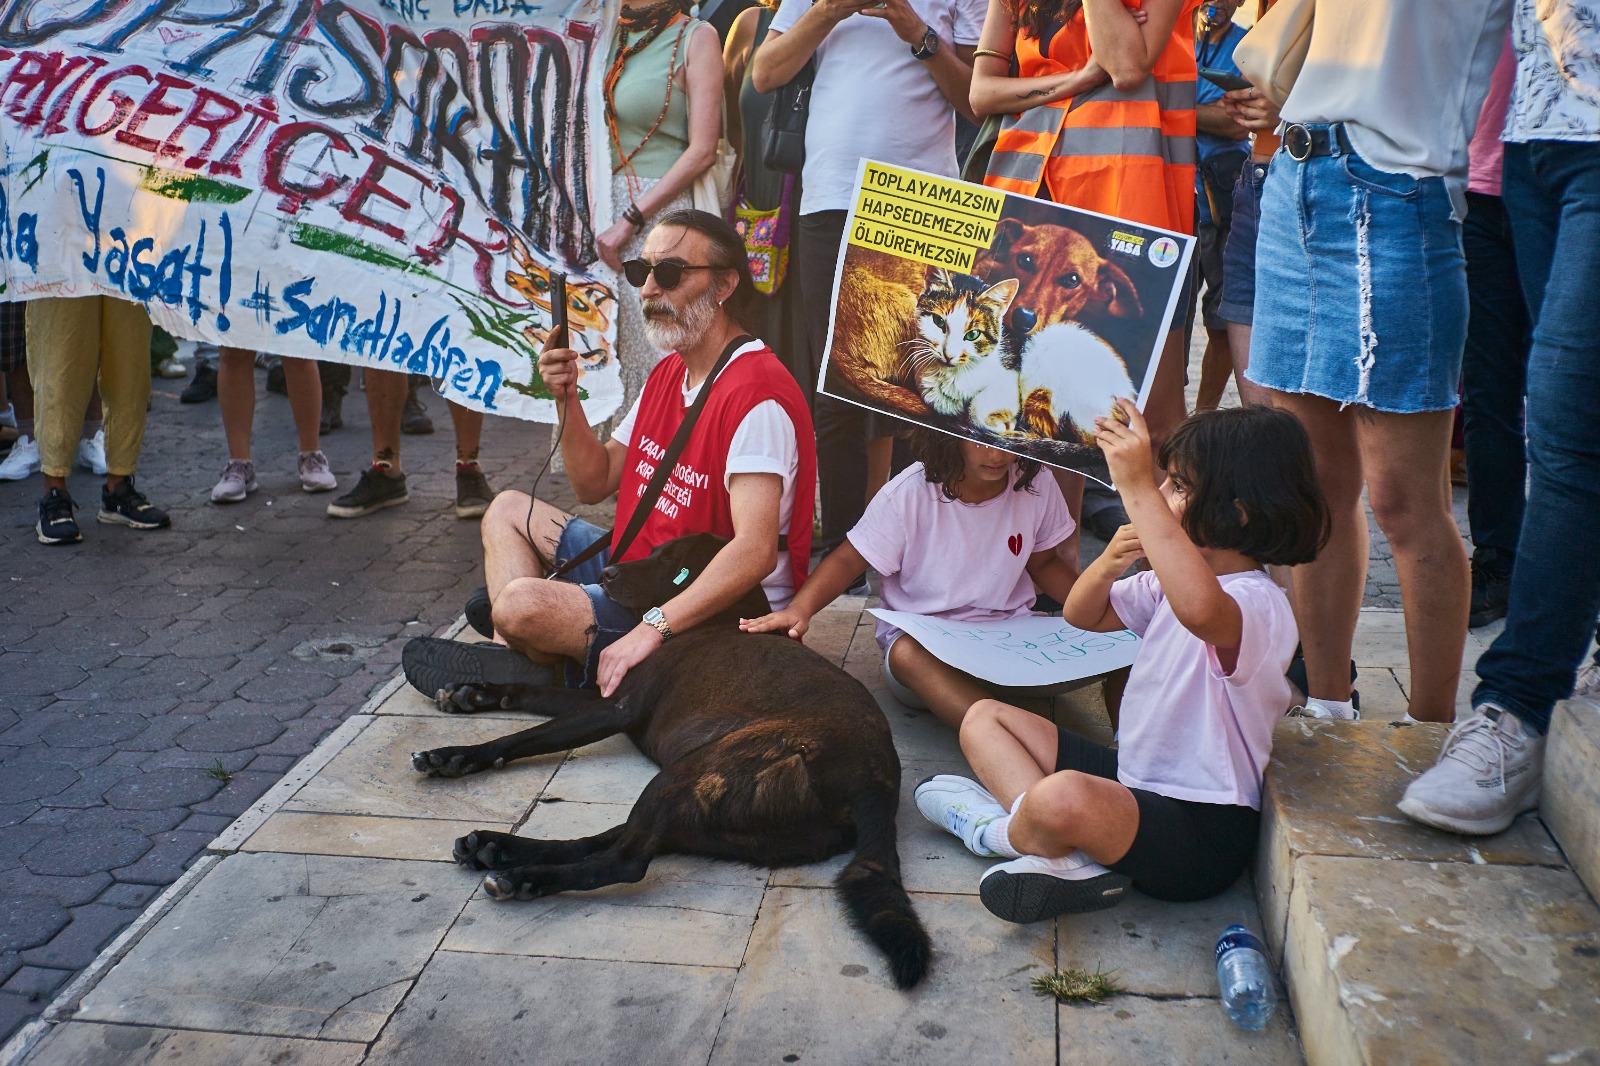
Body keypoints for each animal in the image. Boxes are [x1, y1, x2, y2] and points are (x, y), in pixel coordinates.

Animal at [406, 531, 934, 985]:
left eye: (676, 569)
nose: (608, 571)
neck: (714, 620)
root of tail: (875, 783)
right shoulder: (602, 696)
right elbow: (533, 693)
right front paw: (472, 695)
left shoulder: (615, 708)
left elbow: (529, 736)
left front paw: (455, 754)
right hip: (709, 806)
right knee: (614, 838)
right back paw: (498, 848)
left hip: (696, 769)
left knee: (624, 860)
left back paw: (524, 877)